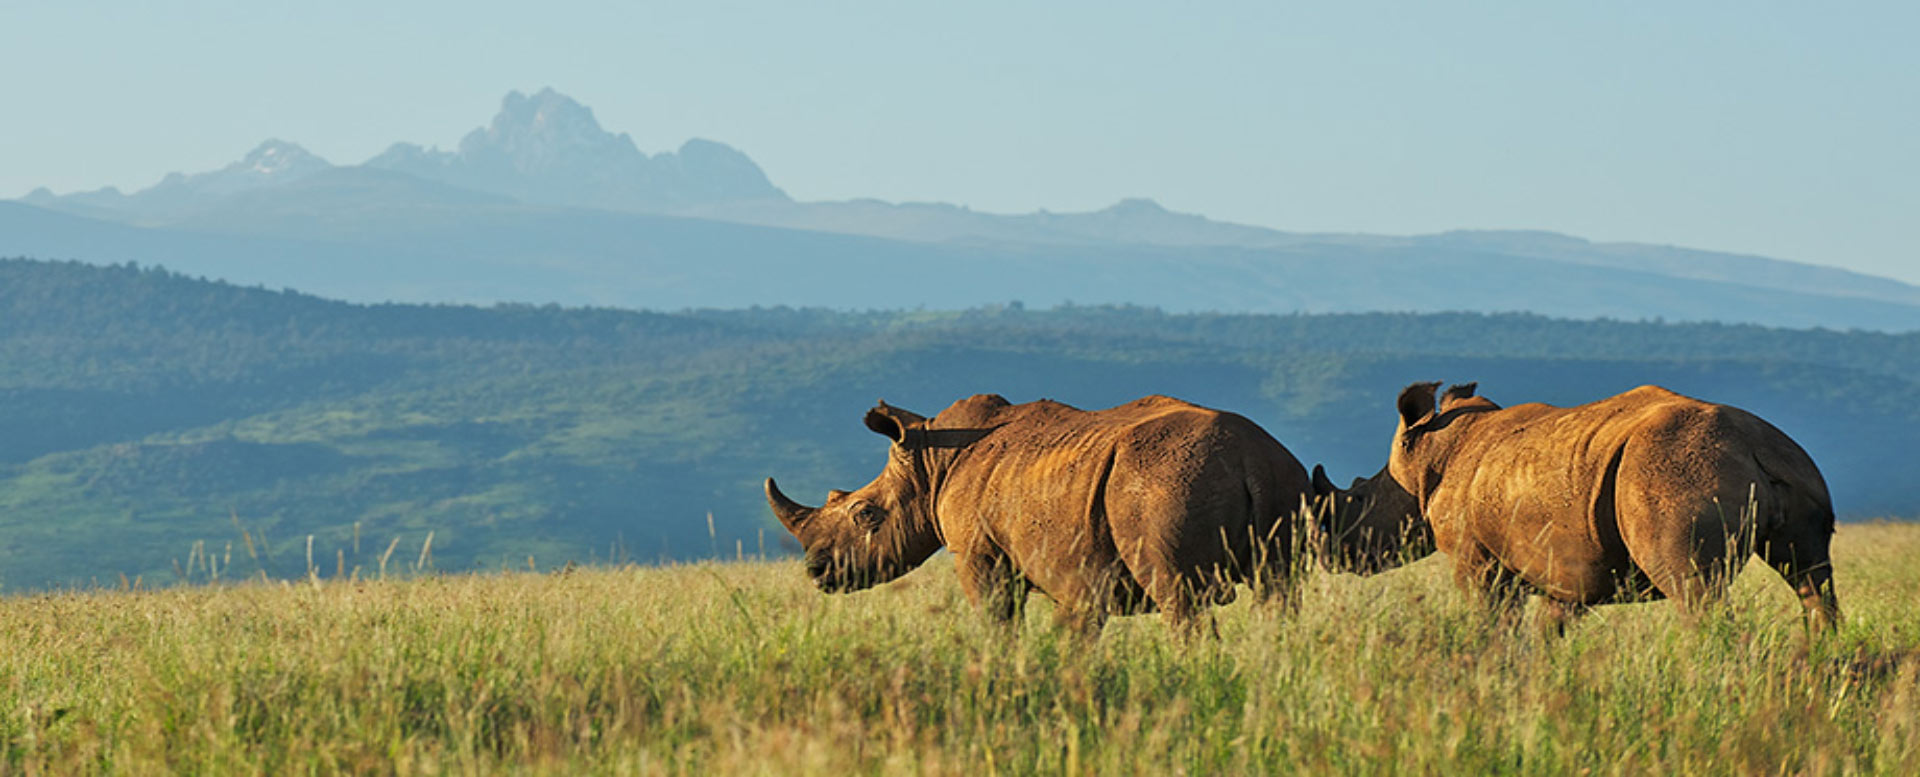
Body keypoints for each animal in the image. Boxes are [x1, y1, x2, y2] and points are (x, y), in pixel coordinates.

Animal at [765, 394, 1313, 635]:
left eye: (866, 514)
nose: (815, 571)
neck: (931, 463)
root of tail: (1250, 456)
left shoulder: (979, 553)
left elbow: (997, 619)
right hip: (1284, 482)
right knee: (1278, 592)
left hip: (1167, 483)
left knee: (1177, 593)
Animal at [1337, 381, 1839, 632]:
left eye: (1358, 498)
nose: (1332, 557)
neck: (1429, 455)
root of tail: (1755, 445)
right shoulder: (1568, 564)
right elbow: (1551, 628)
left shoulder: (1475, 558)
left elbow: (1493, 619)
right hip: (1798, 469)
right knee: (1811, 576)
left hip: (1674, 472)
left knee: (1694, 590)